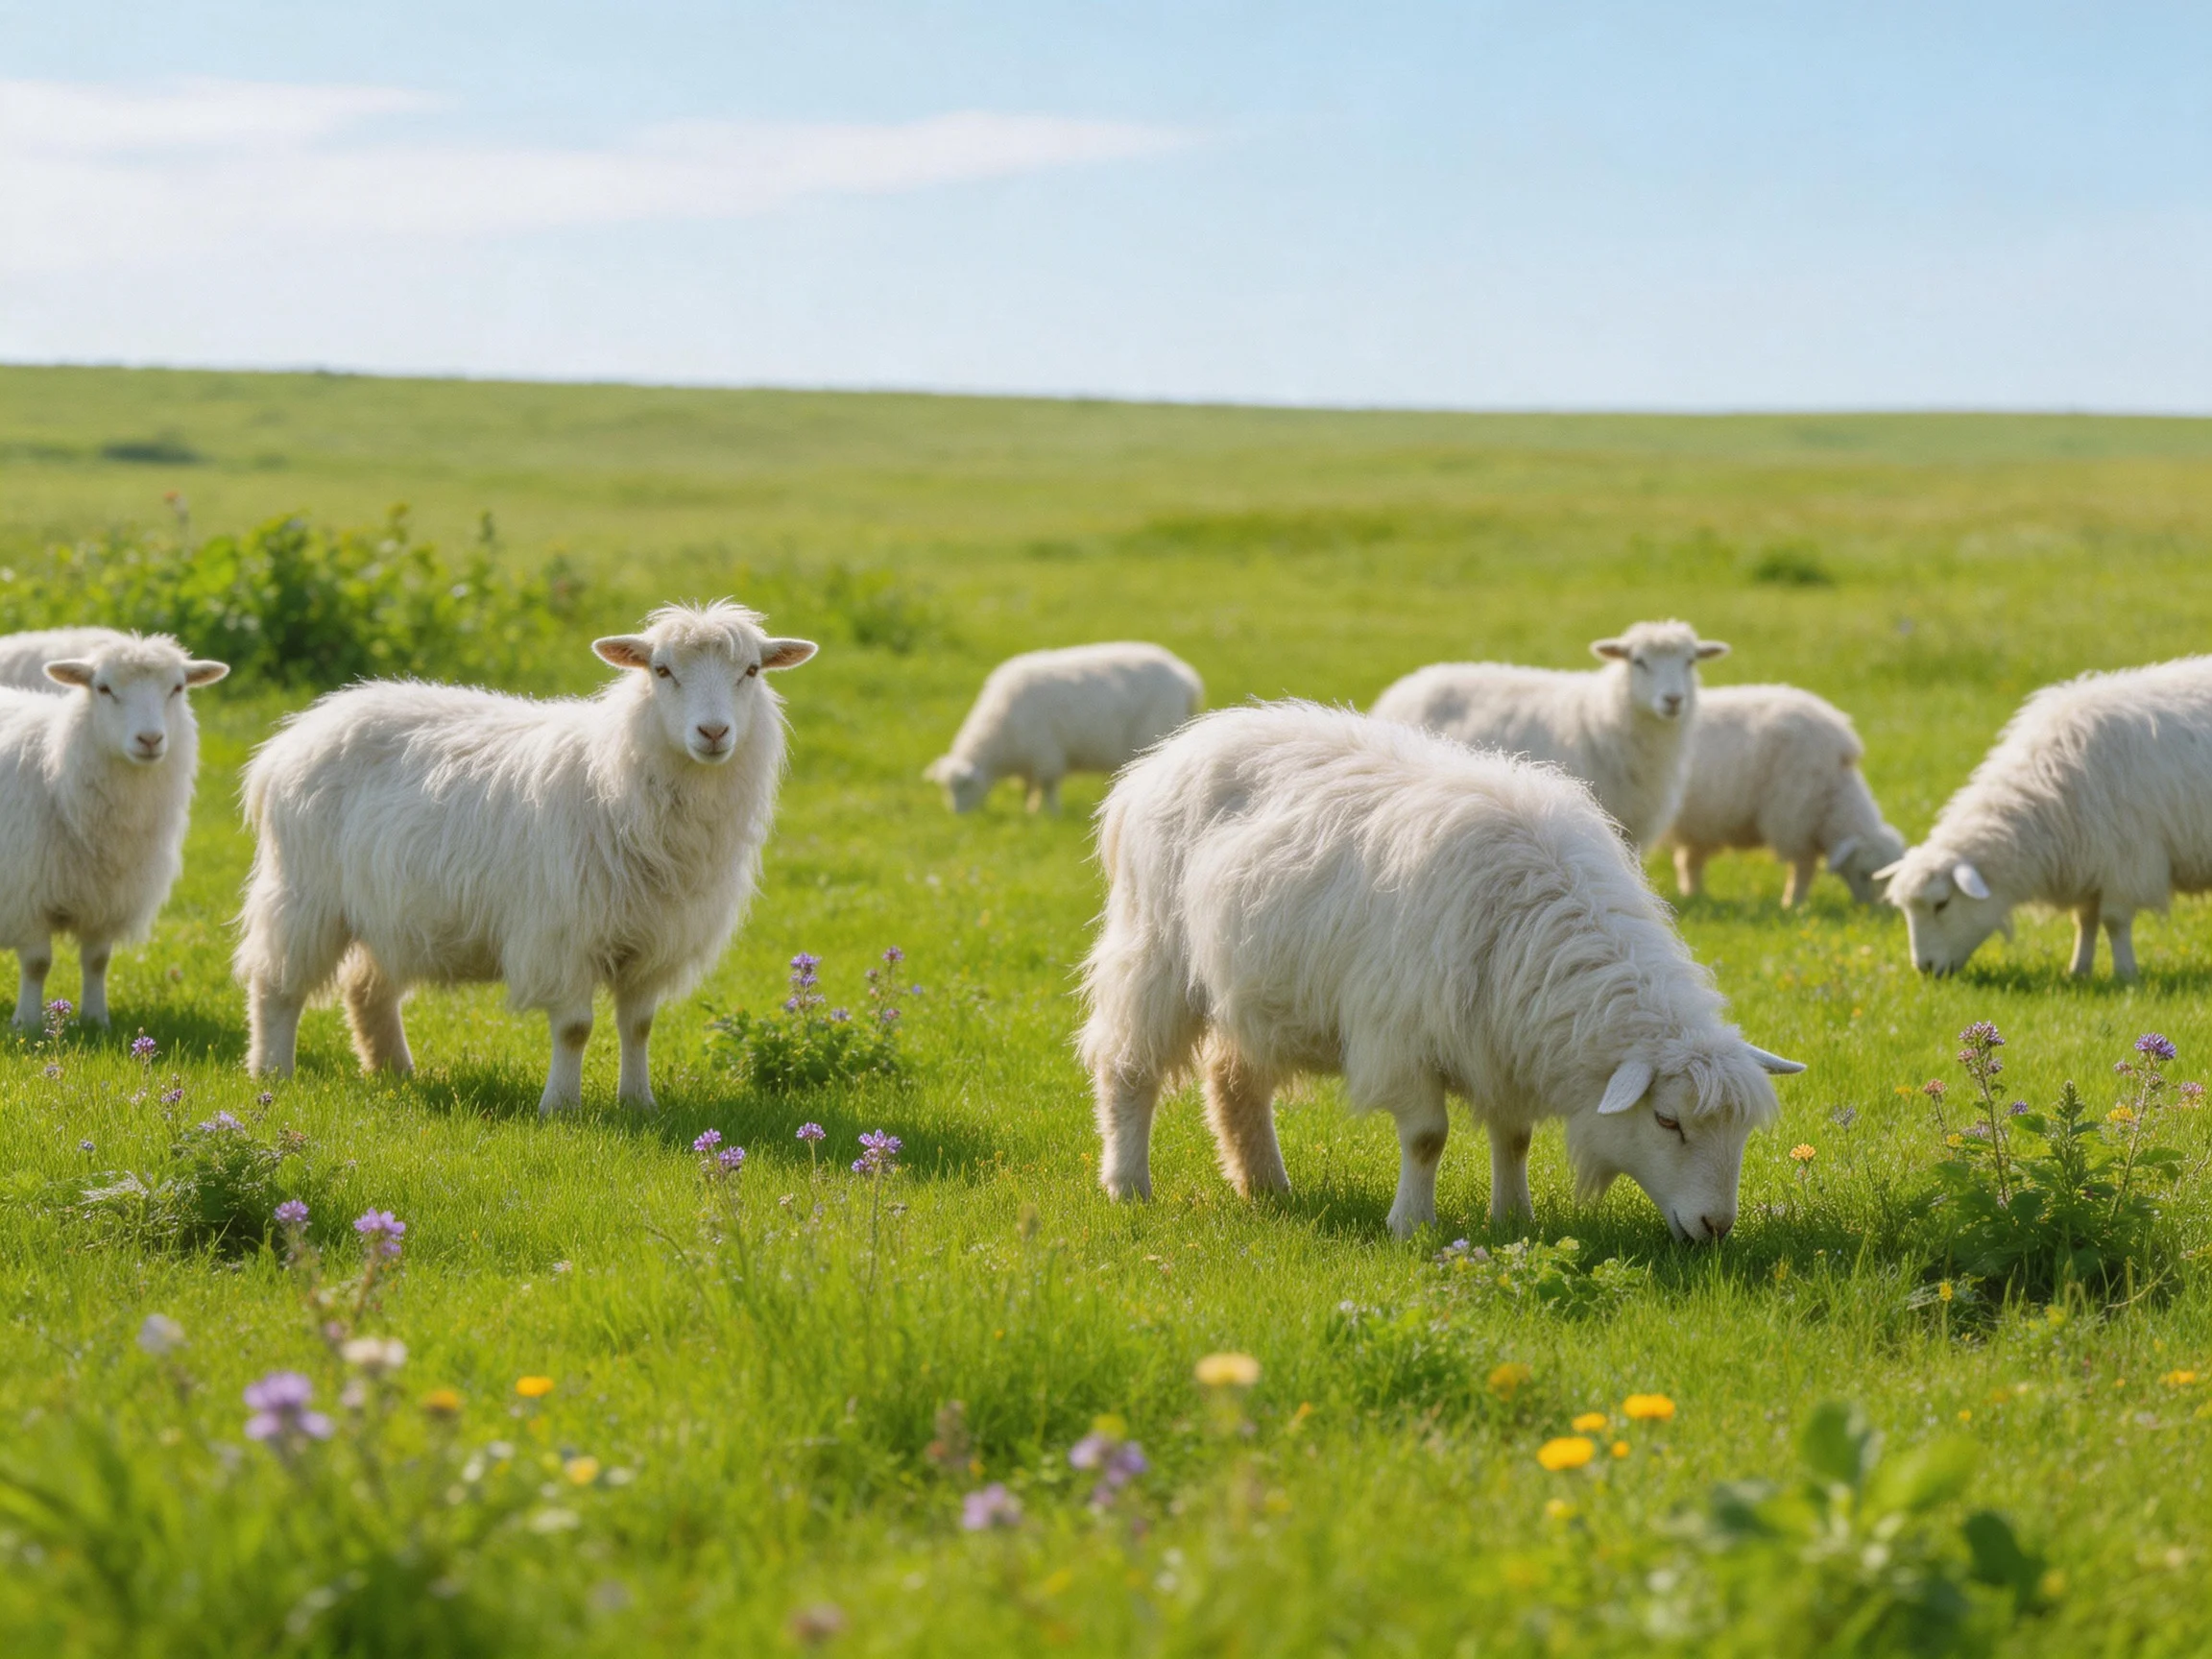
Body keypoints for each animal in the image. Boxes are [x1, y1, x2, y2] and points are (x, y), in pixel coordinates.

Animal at [234, 601, 816, 1112]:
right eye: (662, 670)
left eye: (751, 670)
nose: (713, 732)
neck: (618, 777)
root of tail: (300, 730)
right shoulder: (564, 936)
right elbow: (575, 1029)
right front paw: (560, 1106)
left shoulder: (652, 939)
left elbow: (639, 1026)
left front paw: (638, 1103)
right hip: (303, 894)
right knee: (275, 983)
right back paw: (272, 1073)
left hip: (388, 910)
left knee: (366, 989)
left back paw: (395, 1071)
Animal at [926, 642, 1202, 814]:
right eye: (946, 788)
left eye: (964, 786)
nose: (958, 815)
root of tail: (1187, 680)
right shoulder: (1029, 762)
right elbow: (1028, 787)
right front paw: (1029, 810)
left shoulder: (1045, 753)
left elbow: (1047, 787)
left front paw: (1051, 814)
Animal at [1077, 702, 1803, 1240]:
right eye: (1667, 1122)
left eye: (1739, 1131)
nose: (1715, 1227)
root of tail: (1169, 753)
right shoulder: (1402, 1036)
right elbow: (1427, 1138)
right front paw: (1412, 1226)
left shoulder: (1503, 1041)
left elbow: (1515, 1138)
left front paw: (1514, 1217)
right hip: (1155, 955)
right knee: (1127, 1068)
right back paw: (1128, 1185)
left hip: (1255, 989)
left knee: (1234, 1080)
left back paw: (1268, 1188)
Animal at [1666, 684, 1906, 906]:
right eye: (1864, 874)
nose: (1879, 912)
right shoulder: (1794, 819)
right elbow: (1804, 867)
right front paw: (1794, 904)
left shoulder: (1701, 826)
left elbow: (1690, 861)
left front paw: (1695, 896)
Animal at [1879, 655, 2212, 980]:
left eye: (1942, 903)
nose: (1924, 968)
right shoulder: (2088, 862)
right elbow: (2085, 920)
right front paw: (2078, 971)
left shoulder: (2126, 860)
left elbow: (2114, 920)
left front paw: (2126, 976)